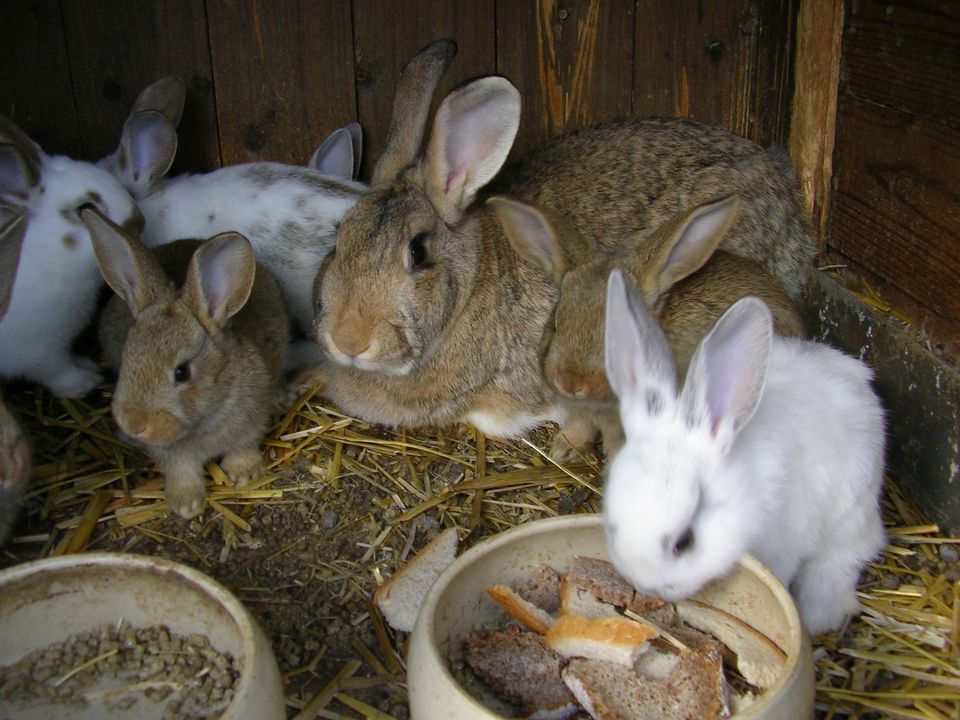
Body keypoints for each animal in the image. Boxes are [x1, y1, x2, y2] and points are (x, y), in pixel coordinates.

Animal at [0, 112, 144, 396]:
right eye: (85, 208)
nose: (139, 222)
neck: (46, 253)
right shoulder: (39, 351)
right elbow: (56, 371)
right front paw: (84, 381)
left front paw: (85, 364)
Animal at [81, 207, 288, 516]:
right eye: (127, 357)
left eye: (182, 372)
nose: (135, 423)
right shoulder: (172, 453)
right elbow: (181, 469)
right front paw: (186, 504)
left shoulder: (251, 423)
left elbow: (243, 446)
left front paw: (244, 473)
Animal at [604, 270, 888, 636]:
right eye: (612, 526)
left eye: (685, 541)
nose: (647, 584)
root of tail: (854, 374)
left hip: (853, 507)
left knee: (848, 556)